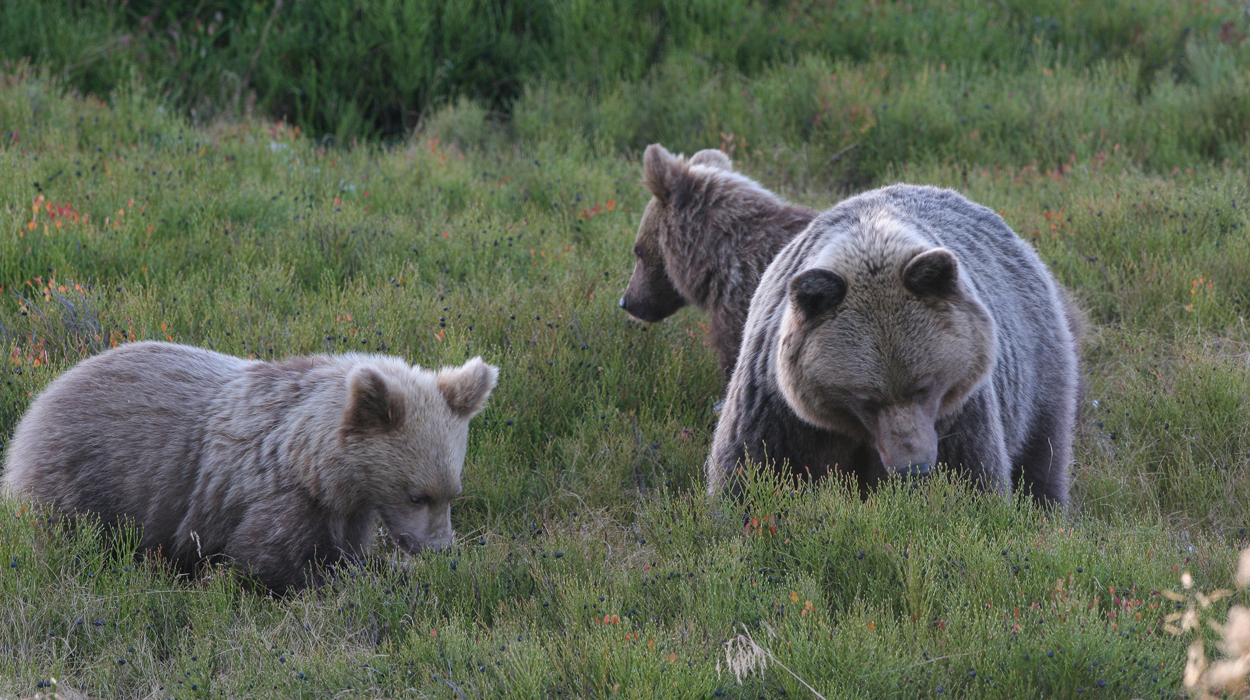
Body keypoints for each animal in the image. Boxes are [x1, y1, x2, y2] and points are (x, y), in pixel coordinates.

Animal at [1, 341, 498, 591]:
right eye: (417, 495)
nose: (439, 548)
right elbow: (271, 560)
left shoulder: (349, 507)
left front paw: (385, 568)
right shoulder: (276, 495)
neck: (316, 463)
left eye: (452, 493)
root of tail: (43, 396)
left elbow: (347, 550)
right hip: (83, 474)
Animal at [707, 184, 1081, 508]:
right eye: (866, 399)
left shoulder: (959, 415)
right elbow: (746, 470)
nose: (914, 468)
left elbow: (971, 478)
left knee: (1042, 453)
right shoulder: (778, 410)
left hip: (1037, 367)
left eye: (925, 386)